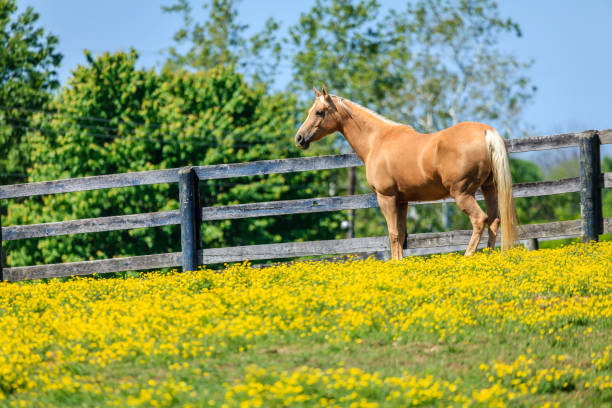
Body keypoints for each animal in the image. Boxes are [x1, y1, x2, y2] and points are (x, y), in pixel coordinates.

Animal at [294, 85, 520, 258]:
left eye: (319, 112)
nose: (299, 138)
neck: (377, 140)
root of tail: (486, 132)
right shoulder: (402, 200)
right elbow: (401, 234)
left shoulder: (386, 197)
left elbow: (393, 233)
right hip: (489, 189)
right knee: (494, 221)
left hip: (462, 193)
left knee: (480, 220)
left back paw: (468, 257)